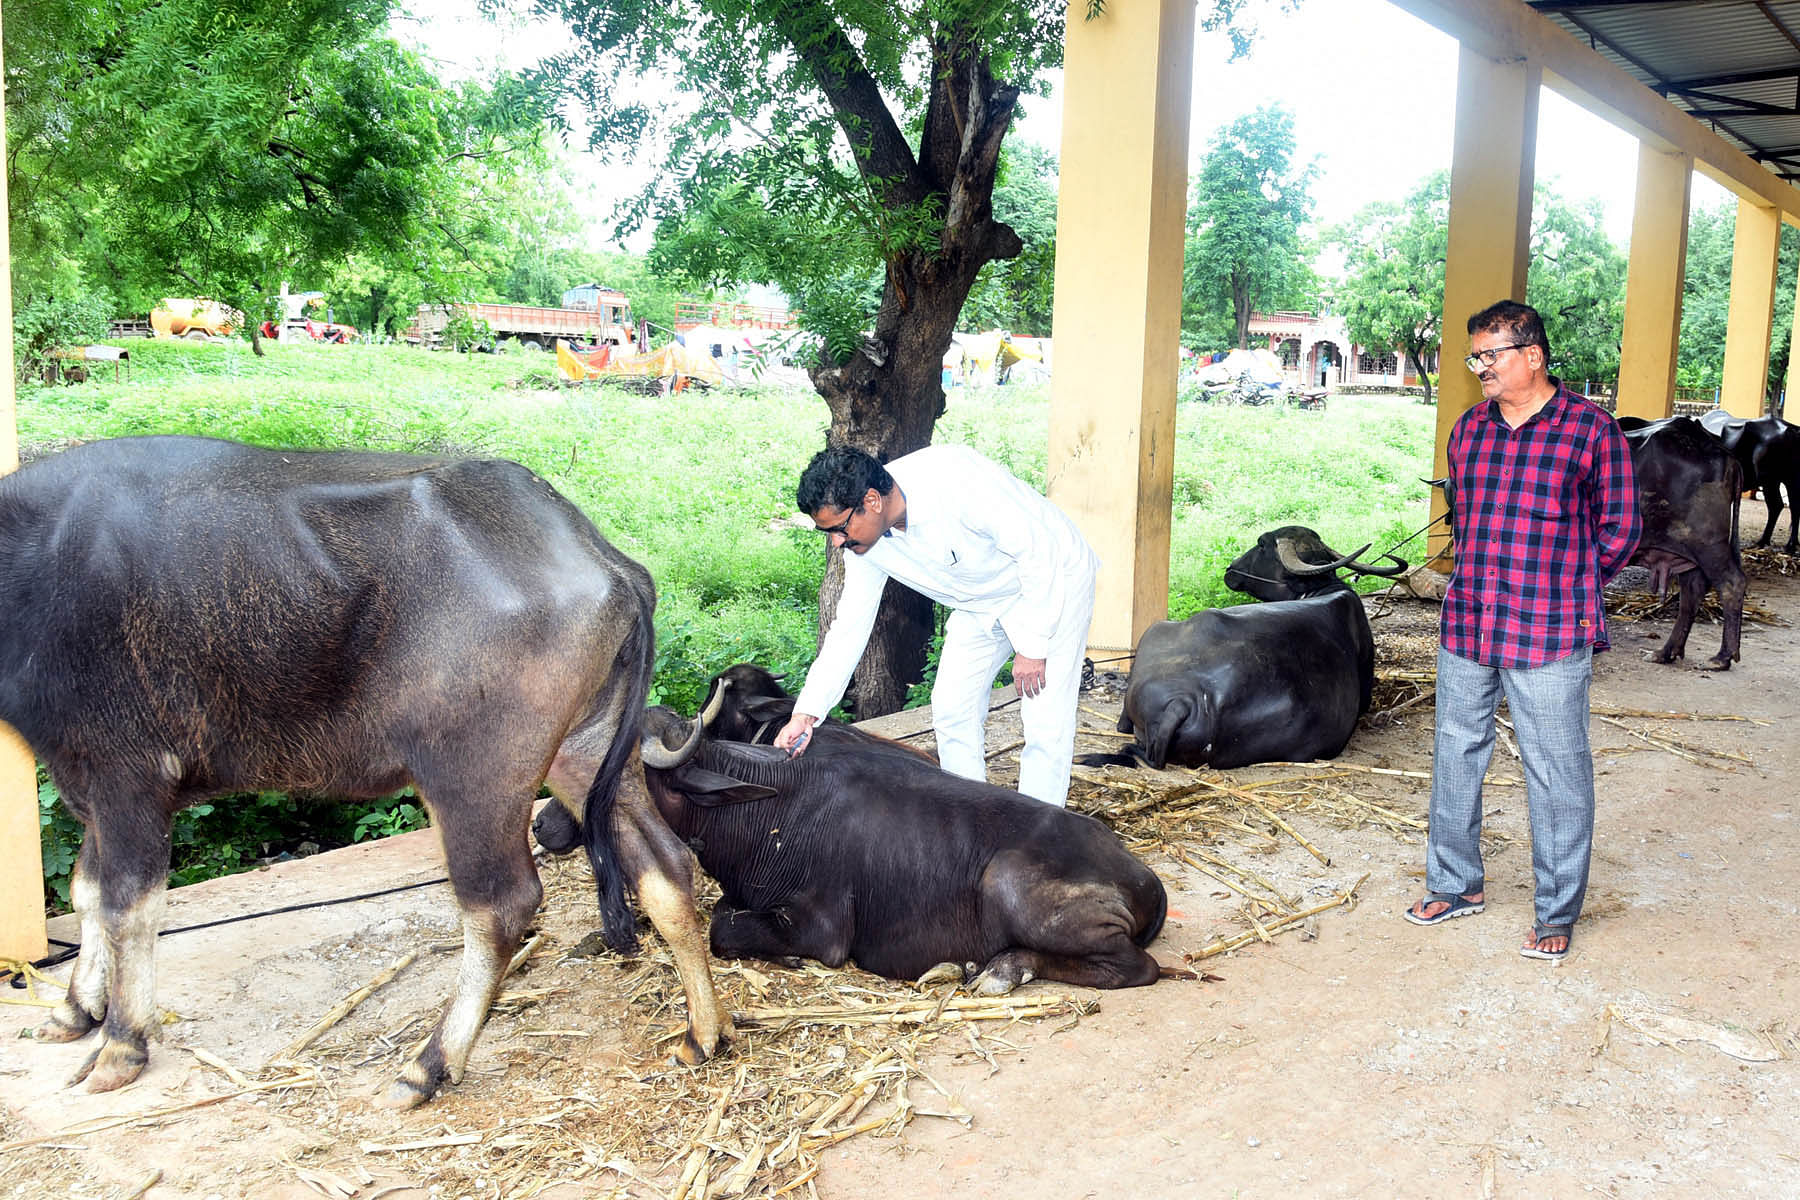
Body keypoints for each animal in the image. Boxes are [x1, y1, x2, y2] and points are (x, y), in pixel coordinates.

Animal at [5, 437, 730, 1115]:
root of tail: (606, 560)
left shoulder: (128, 777)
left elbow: (126, 905)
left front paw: (119, 1046)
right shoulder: (85, 782)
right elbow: (85, 890)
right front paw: (72, 1012)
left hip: (473, 777)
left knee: (503, 904)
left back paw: (427, 1065)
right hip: (585, 752)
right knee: (665, 866)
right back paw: (705, 1031)